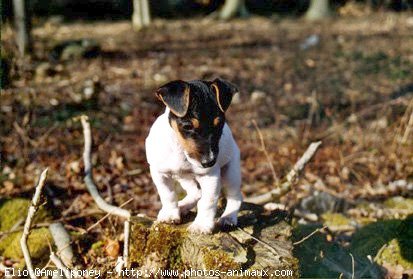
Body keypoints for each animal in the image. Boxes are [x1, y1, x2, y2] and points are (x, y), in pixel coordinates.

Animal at [145, 78, 241, 234]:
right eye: (188, 126)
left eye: (219, 123)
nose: (209, 162)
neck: (180, 150)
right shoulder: (159, 173)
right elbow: (168, 194)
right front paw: (170, 214)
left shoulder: (210, 177)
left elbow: (207, 202)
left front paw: (201, 225)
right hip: (184, 178)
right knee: (196, 193)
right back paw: (182, 207)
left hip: (230, 172)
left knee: (235, 196)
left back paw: (228, 217)